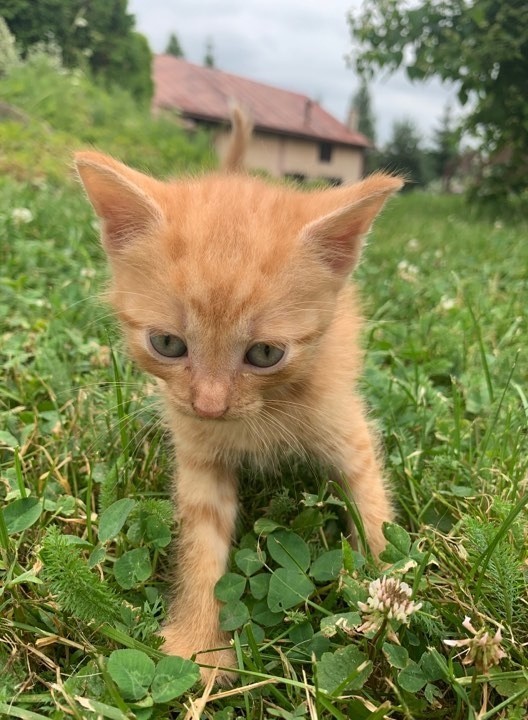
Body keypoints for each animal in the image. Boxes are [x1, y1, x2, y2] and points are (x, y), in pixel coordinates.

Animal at [76, 116, 402, 680]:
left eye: (266, 353)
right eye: (167, 344)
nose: (209, 406)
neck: (259, 416)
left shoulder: (344, 421)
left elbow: (373, 505)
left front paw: (387, 590)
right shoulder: (198, 454)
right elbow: (201, 544)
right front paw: (198, 644)